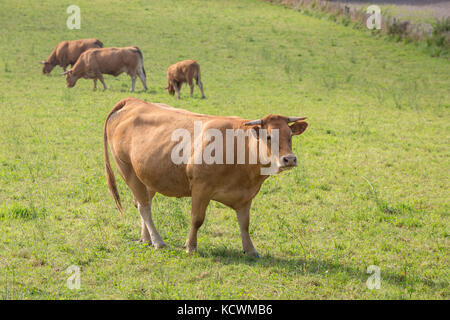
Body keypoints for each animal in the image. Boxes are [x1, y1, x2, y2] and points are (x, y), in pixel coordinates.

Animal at [102, 97, 308, 258]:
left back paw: (146, 239)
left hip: (147, 176)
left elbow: (245, 224)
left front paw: (250, 250)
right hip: (127, 170)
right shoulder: (201, 188)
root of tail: (133, 102)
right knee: (144, 208)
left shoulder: (246, 195)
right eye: (268, 137)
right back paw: (158, 241)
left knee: (142, 204)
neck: (239, 147)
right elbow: (197, 219)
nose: (289, 159)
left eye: (290, 135)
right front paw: (190, 247)